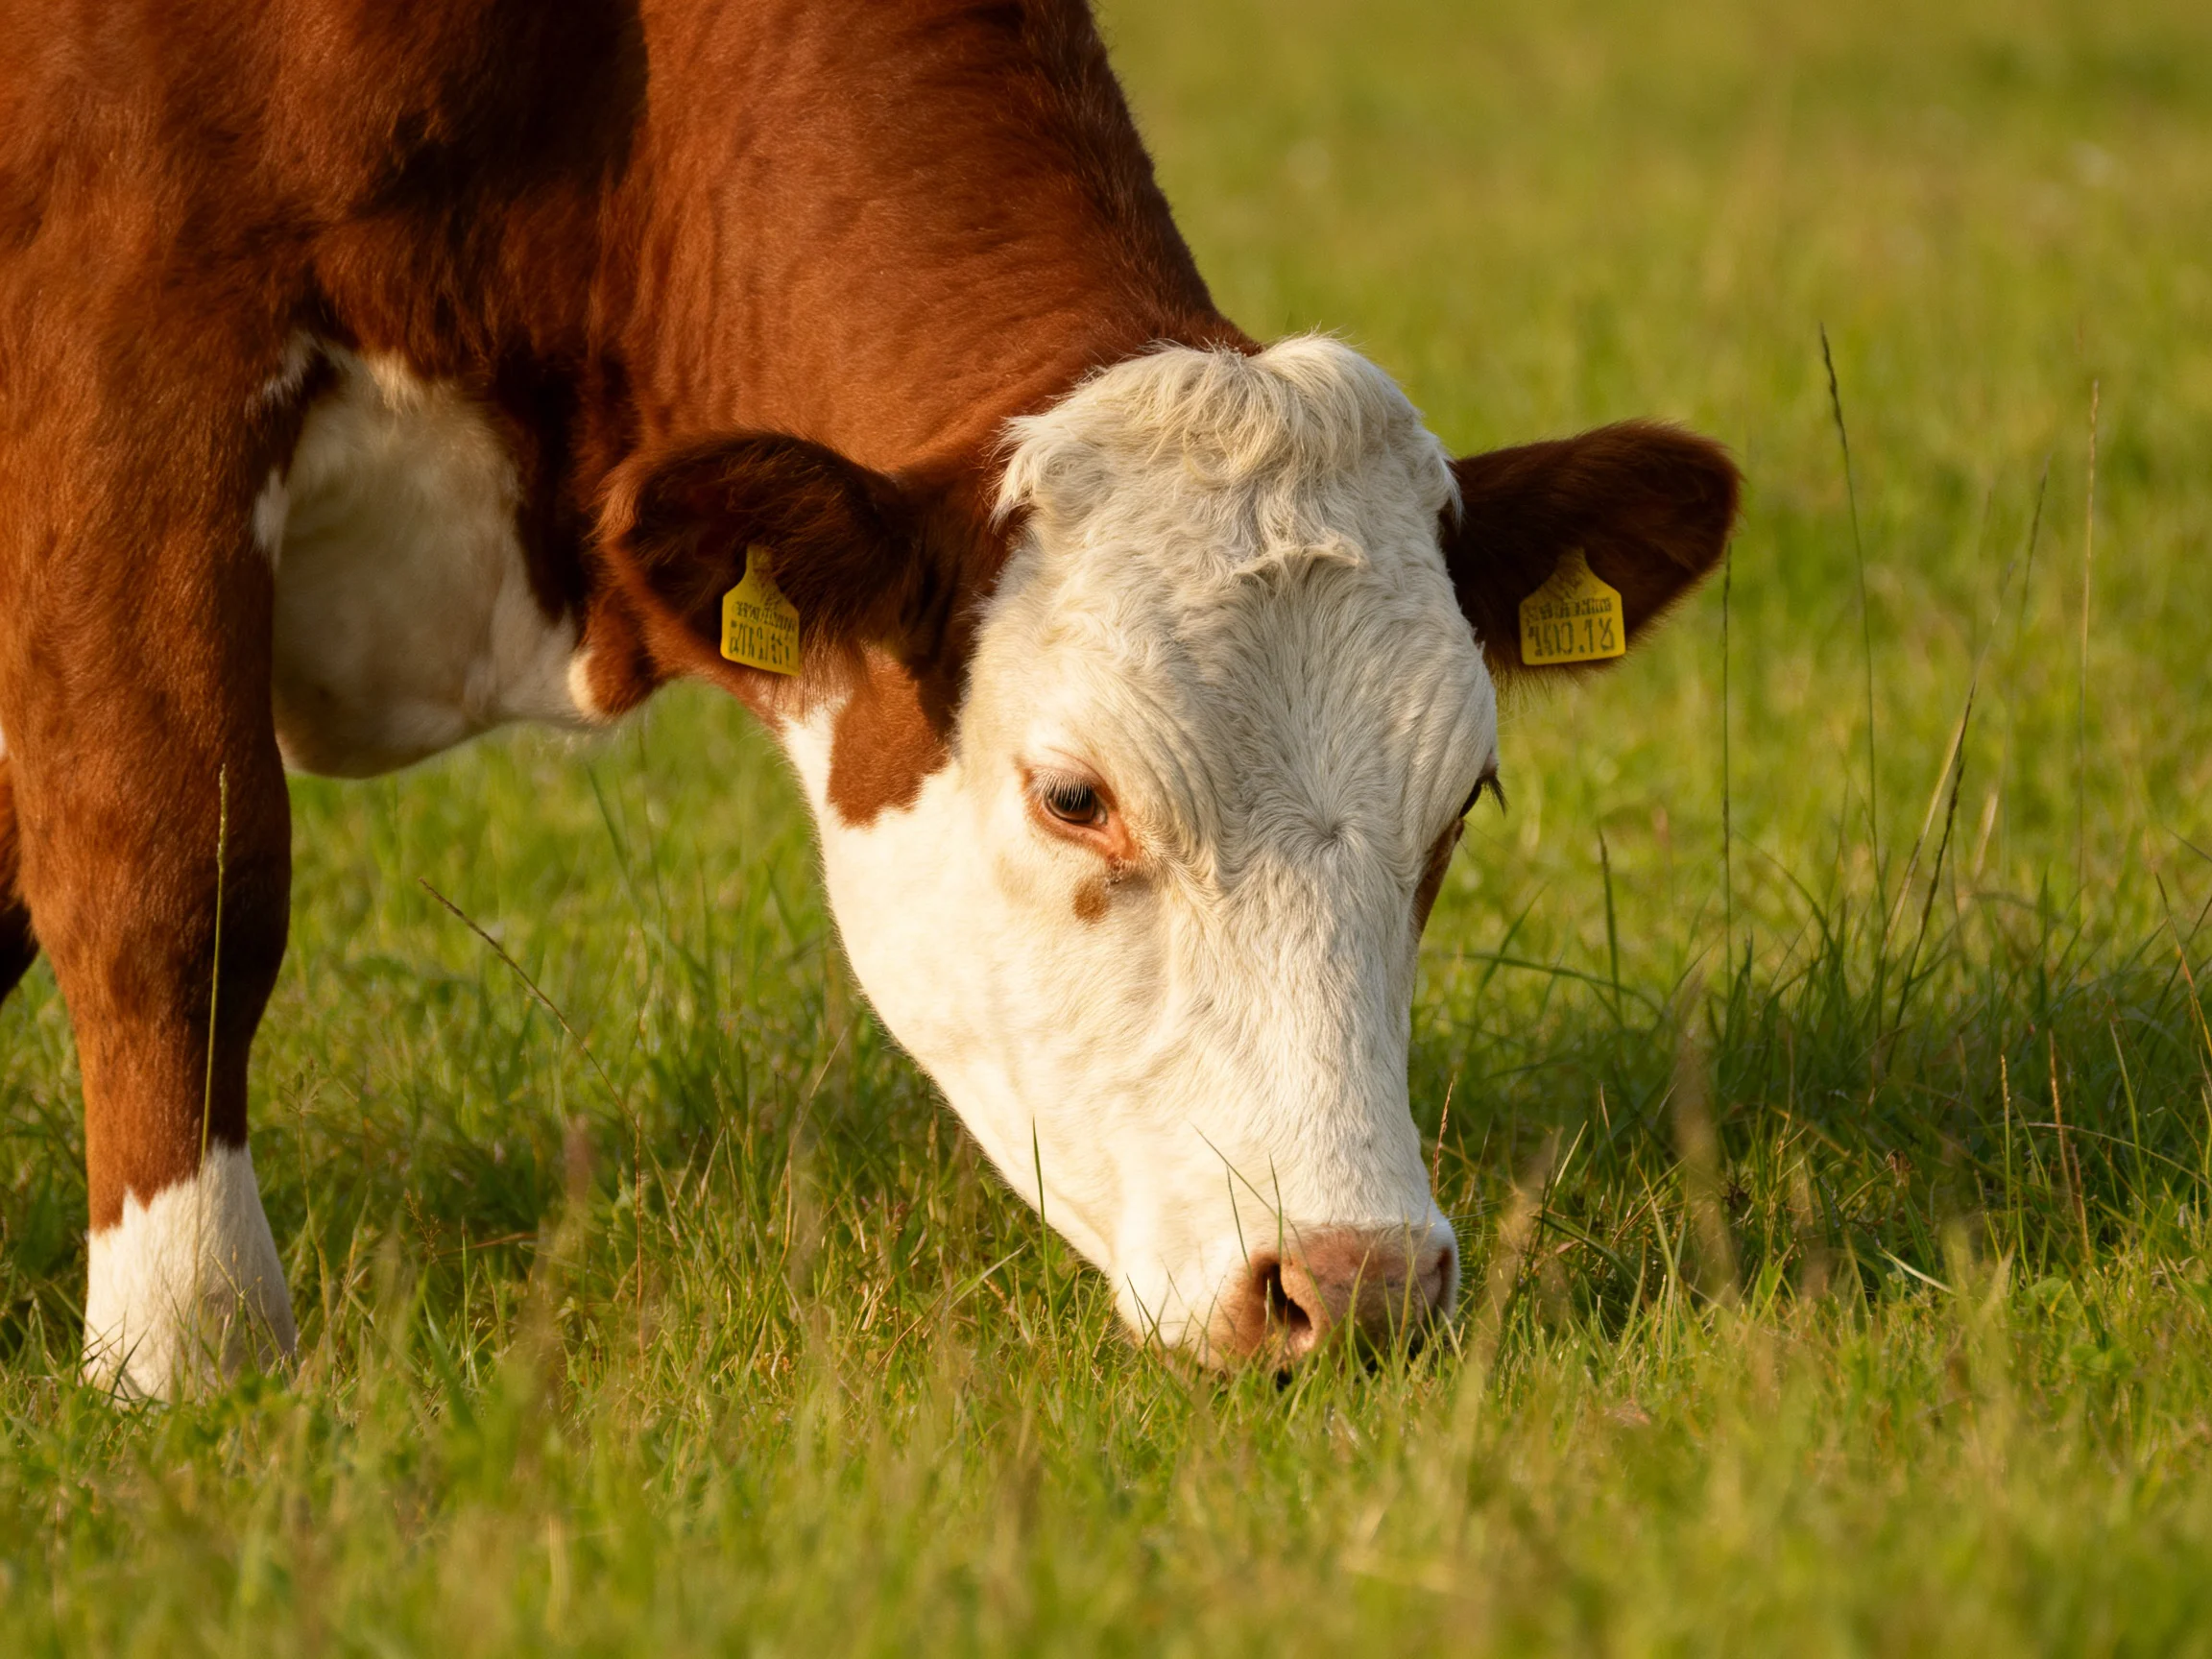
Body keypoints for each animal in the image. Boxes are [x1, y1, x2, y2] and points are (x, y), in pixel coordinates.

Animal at [0, 0, 1738, 1398]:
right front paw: (187, 1349)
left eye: (1458, 810)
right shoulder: (132, 344)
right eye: (1074, 796)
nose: (1356, 1283)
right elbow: (174, 871)